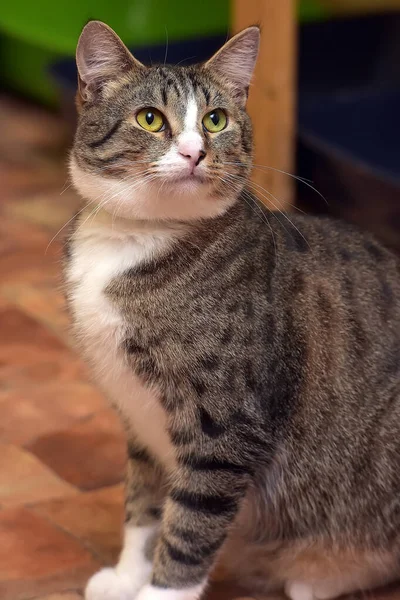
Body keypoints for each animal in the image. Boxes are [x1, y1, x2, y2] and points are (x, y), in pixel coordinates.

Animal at [65, 21, 400, 600]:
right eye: (150, 118)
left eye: (215, 119)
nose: (195, 153)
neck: (136, 239)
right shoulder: (138, 418)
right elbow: (144, 506)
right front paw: (128, 575)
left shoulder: (224, 429)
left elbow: (188, 531)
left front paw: (157, 591)